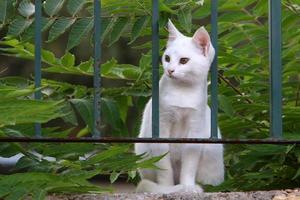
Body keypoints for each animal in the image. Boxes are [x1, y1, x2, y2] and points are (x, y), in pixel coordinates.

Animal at [135, 20, 224, 194]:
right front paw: (167, 188)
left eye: (184, 61)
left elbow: (189, 166)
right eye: (167, 58)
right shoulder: (161, 128)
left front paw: (188, 187)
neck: (182, 91)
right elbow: (164, 168)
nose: (170, 70)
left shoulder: (195, 130)